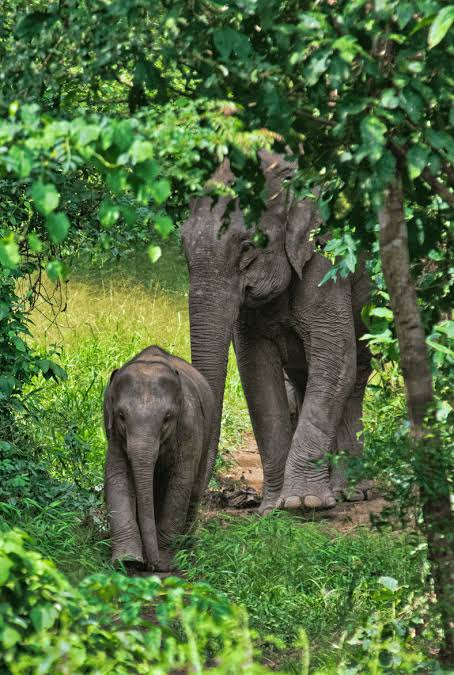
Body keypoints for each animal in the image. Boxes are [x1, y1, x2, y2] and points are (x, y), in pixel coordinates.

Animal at [103, 345, 214, 571]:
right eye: (121, 416)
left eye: (167, 418)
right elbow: (117, 477)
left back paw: (188, 550)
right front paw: (127, 561)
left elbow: (180, 483)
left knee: (194, 491)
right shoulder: (114, 433)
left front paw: (165, 563)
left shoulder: (190, 428)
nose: (151, 566)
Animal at [182, 150, 372, 514]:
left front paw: (303, 503)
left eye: (247, 246)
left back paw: (350, 493)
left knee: (355, 374)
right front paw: (272, 509)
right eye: (181, 245)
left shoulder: (327, 263)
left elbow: (336, 359)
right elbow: (256, 373)